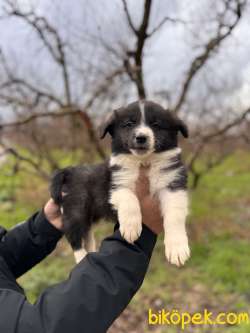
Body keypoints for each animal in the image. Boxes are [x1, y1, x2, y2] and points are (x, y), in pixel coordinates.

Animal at [51, 100, 191, 266]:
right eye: (129, 124)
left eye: (156, 124)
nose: (141, 137)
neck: (143, 161)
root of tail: (69, 171)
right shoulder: (117, 184)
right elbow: (129, 199)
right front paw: (131, 228)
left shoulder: (173, 185)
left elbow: (175, 215)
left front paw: (177, 249)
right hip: (75, 210)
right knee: (75, 237)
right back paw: (82, 257)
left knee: (87, 234)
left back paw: (90, 253)